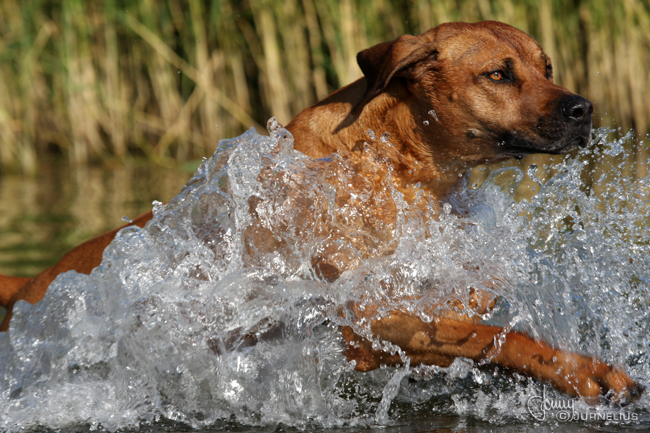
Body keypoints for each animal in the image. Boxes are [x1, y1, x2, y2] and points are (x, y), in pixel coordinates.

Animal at [0, 22, 640, 402]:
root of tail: (29, 283)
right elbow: (496, 337)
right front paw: (589, 372)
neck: (388, 158)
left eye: (547, 68)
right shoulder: (371, 313)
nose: (583, 109)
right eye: (499, 74)